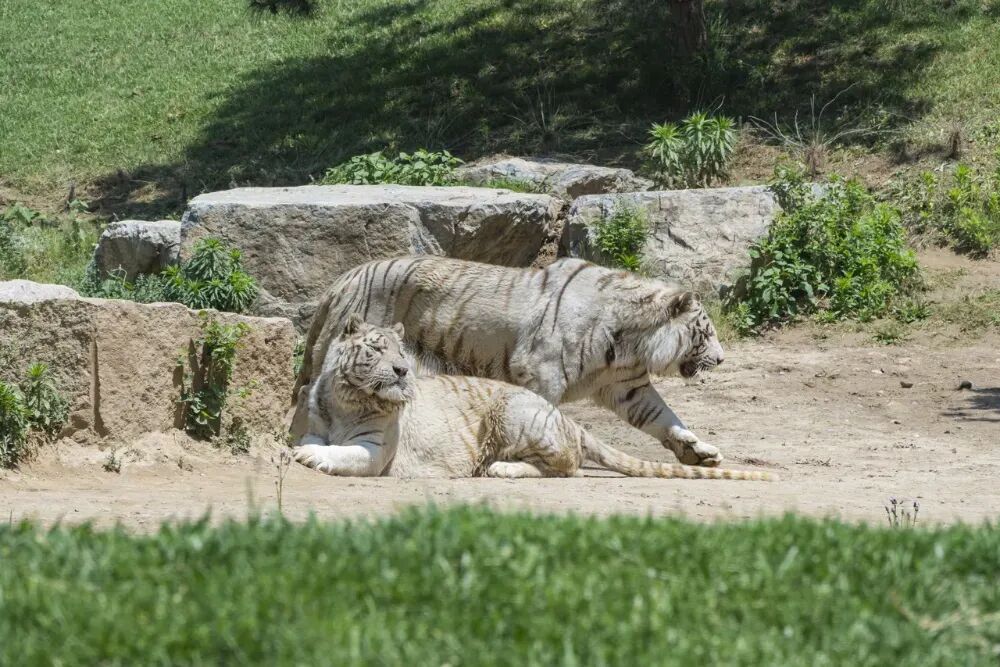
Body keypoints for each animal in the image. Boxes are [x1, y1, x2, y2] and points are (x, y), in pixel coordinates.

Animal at [293, 256, 727, 467]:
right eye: (706, 332)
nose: (722, 359)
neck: (631, 342)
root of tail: (342, 279)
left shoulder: (629, 386)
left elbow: (665, 417)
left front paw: (699, 452)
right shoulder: (541, 373)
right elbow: (544, 415)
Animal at [293, 315, 772, 481]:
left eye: (401, 352)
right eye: (377, 349)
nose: (401, 370)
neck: (348, 400)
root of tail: (568, 420)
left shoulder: (376, 448)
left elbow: (349, 454)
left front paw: (311, 459)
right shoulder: (317, 421)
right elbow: (316, 439)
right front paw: (306, 451)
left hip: (515, 413)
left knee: (566, 466)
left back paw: (500, 468)